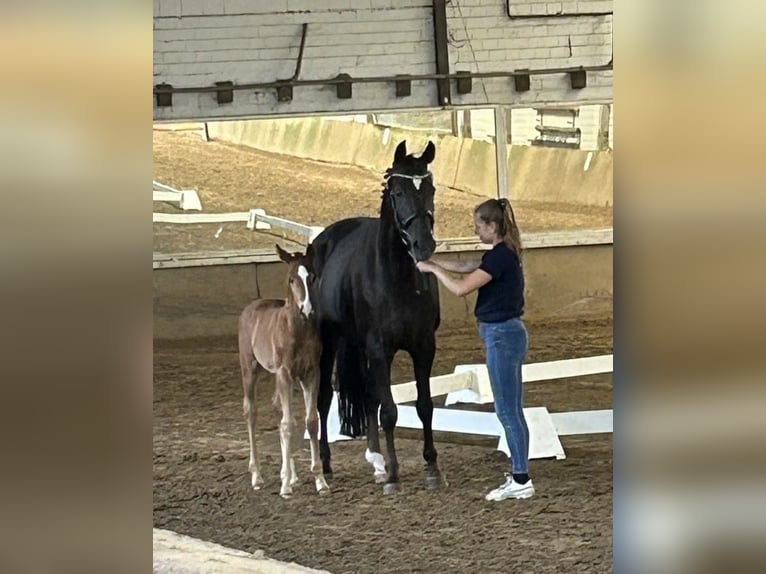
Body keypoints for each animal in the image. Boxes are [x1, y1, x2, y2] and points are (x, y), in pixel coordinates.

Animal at [312, 142, 444, 498]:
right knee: (324, 399)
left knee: (369, 395)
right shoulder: (379, 348)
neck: (396, 277)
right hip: (330, 342)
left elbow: (424, 405)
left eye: (430, 189)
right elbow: (390, 412)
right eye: (397, 192)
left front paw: (432, 467)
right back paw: (326, 465)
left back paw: (376, 461)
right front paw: (395, 476)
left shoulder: (423, 347)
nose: (424, 245)